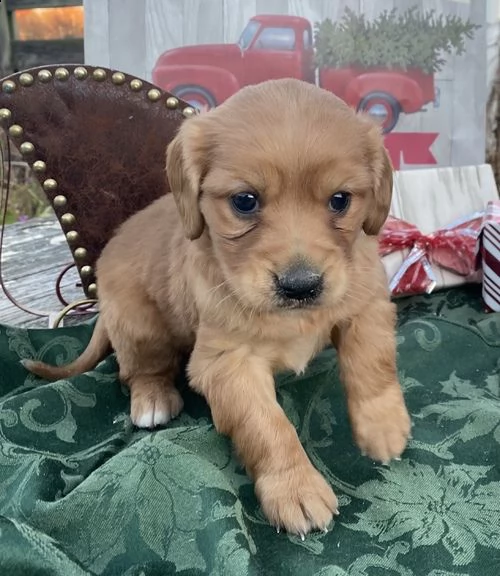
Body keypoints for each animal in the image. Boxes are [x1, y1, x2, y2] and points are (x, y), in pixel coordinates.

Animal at [23, 76, 410, 536]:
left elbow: (373, 362)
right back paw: (153, 400)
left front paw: (383, 427)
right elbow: (267, 425)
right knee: (137, 371)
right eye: (245, 201)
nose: (300, 286)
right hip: (141, 327)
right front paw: (295, 488)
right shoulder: (228, 362)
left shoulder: (365, 301)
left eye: (340, 200)